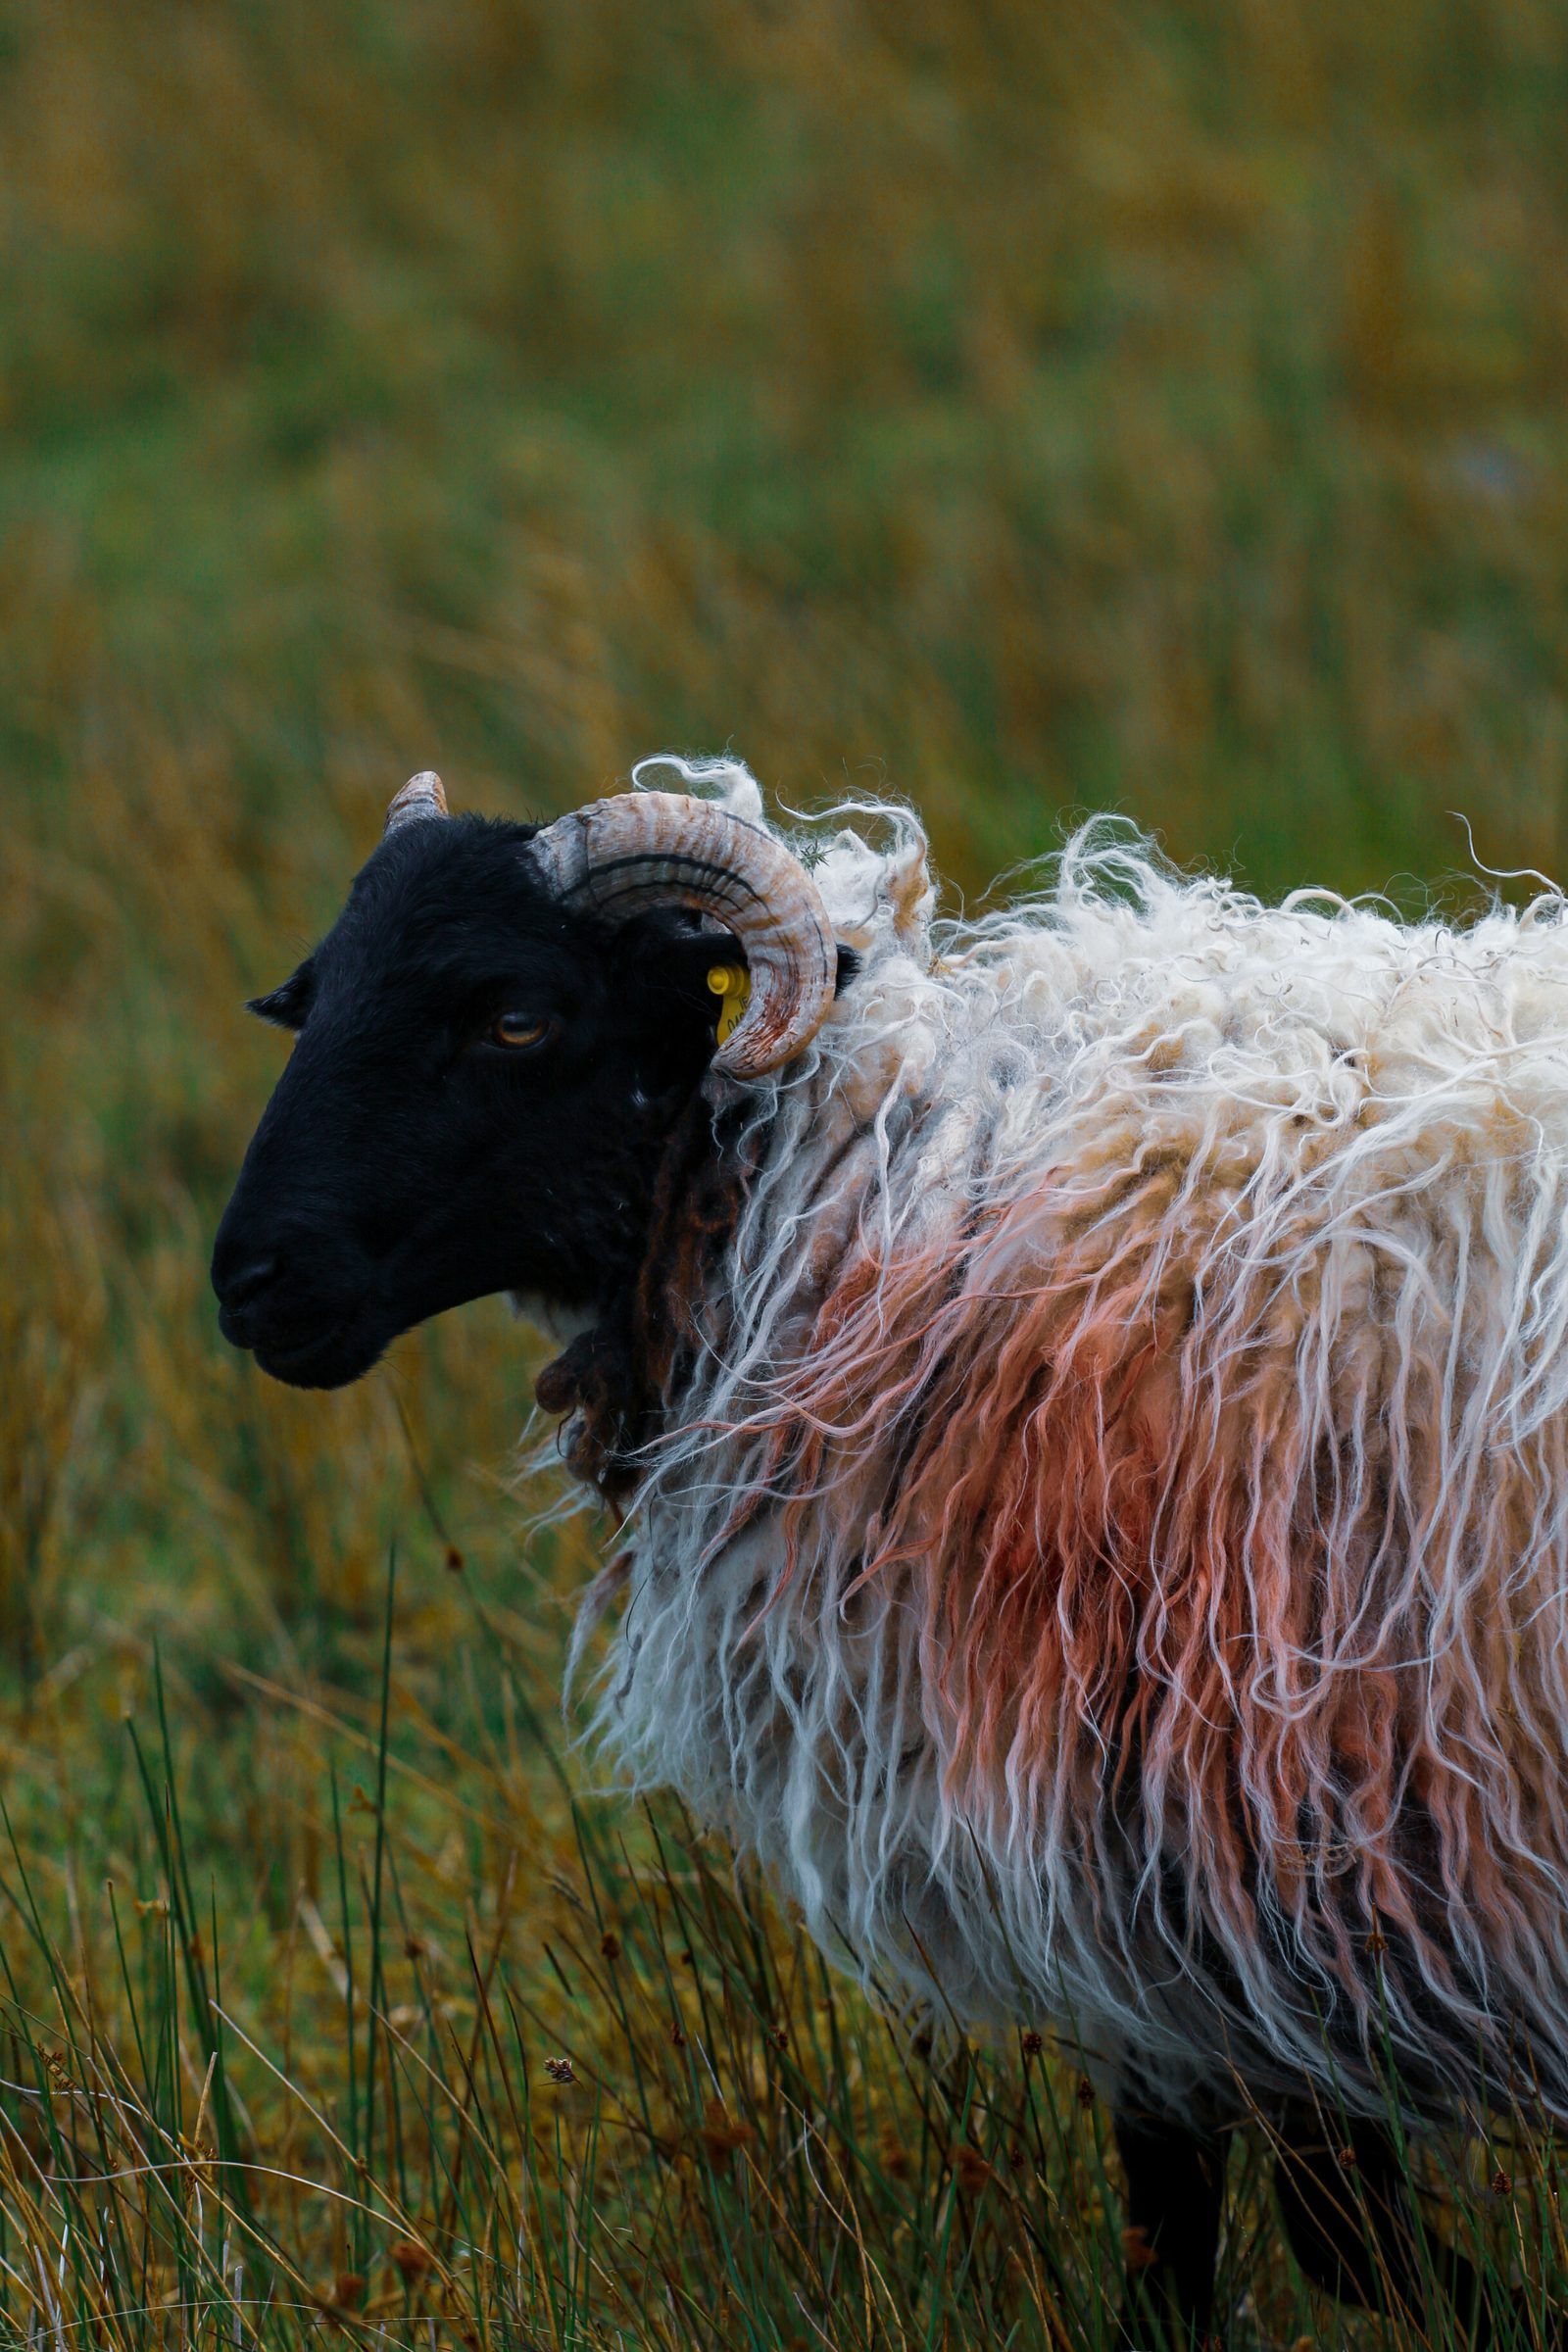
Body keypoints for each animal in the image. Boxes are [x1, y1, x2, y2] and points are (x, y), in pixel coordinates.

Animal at [214, 756, 1568, 2345]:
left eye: (516, 1017)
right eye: (313, 998)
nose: (252, 1280)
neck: (891, 1187)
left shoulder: (1241, 1834)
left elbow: (1305, 2227)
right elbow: (1233, 2222)